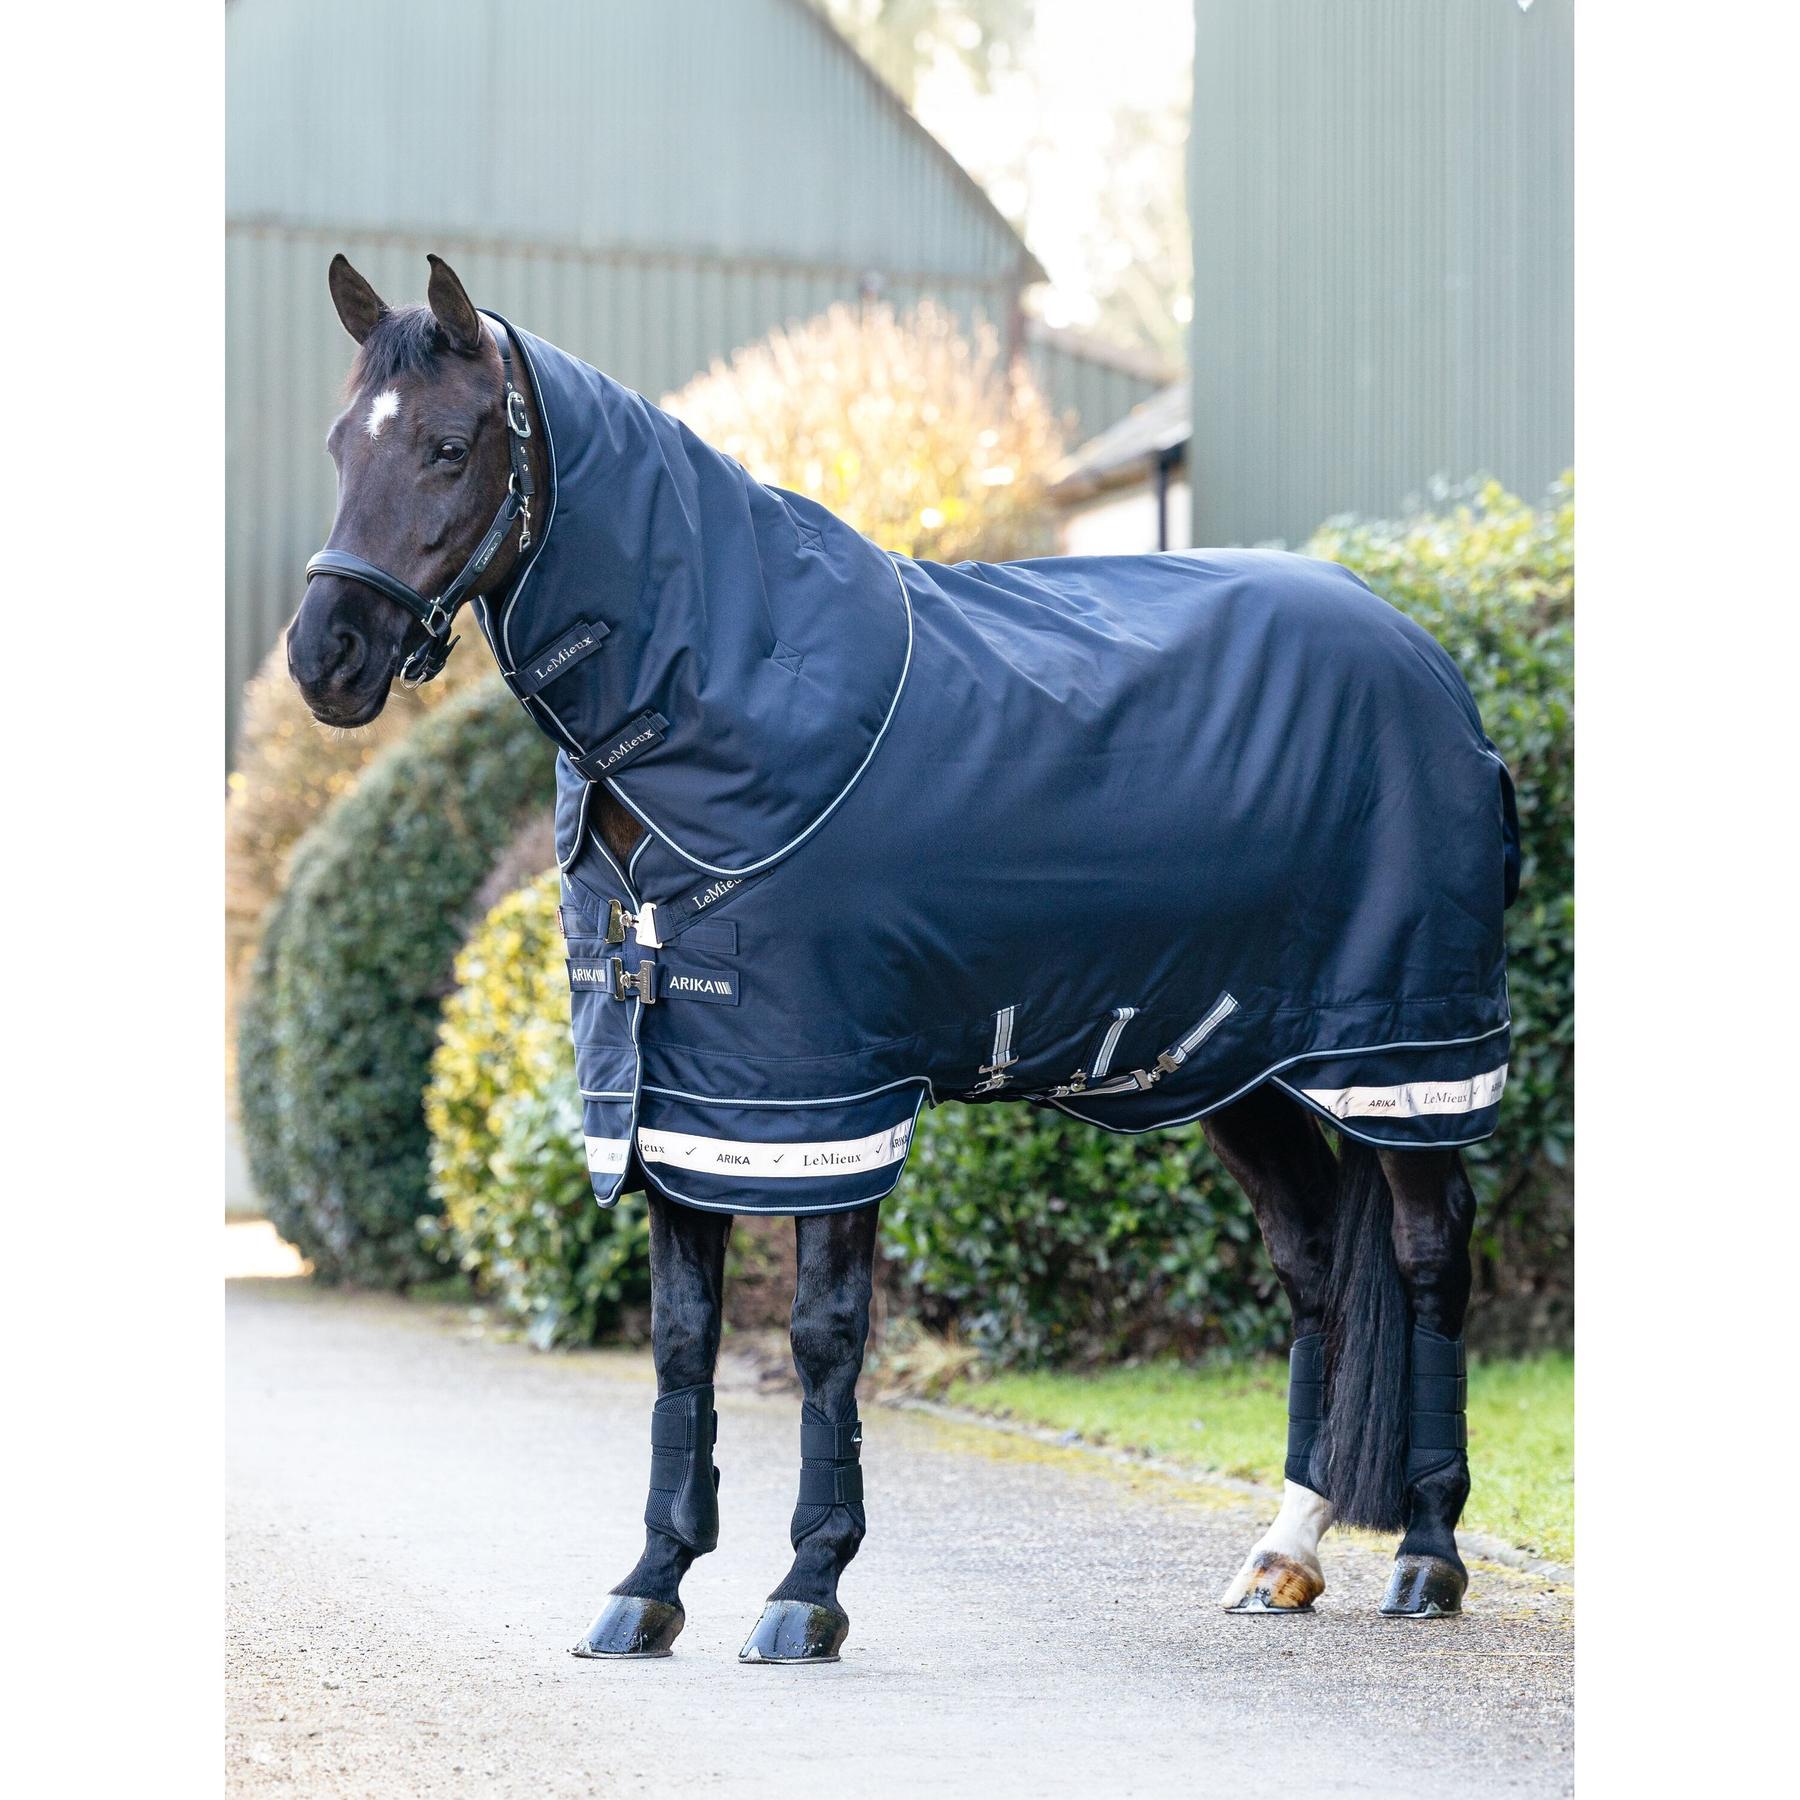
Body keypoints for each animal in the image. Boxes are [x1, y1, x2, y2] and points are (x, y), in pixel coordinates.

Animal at [287, 253, 1508, 1663]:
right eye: (340, 444)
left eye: (448, 444)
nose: (325, 657)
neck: (730, 700)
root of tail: (1428, 662)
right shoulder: (680, 1099)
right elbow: (681, 1340)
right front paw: (650, 1585)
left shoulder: (823, 1095)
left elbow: (823, 1336)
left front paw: (806, 1589)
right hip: (1233, 1069)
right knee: (1313, 1267)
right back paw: (1284, 1550)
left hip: (1399, 1056)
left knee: (1427, 1258)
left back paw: (1426, 1554)